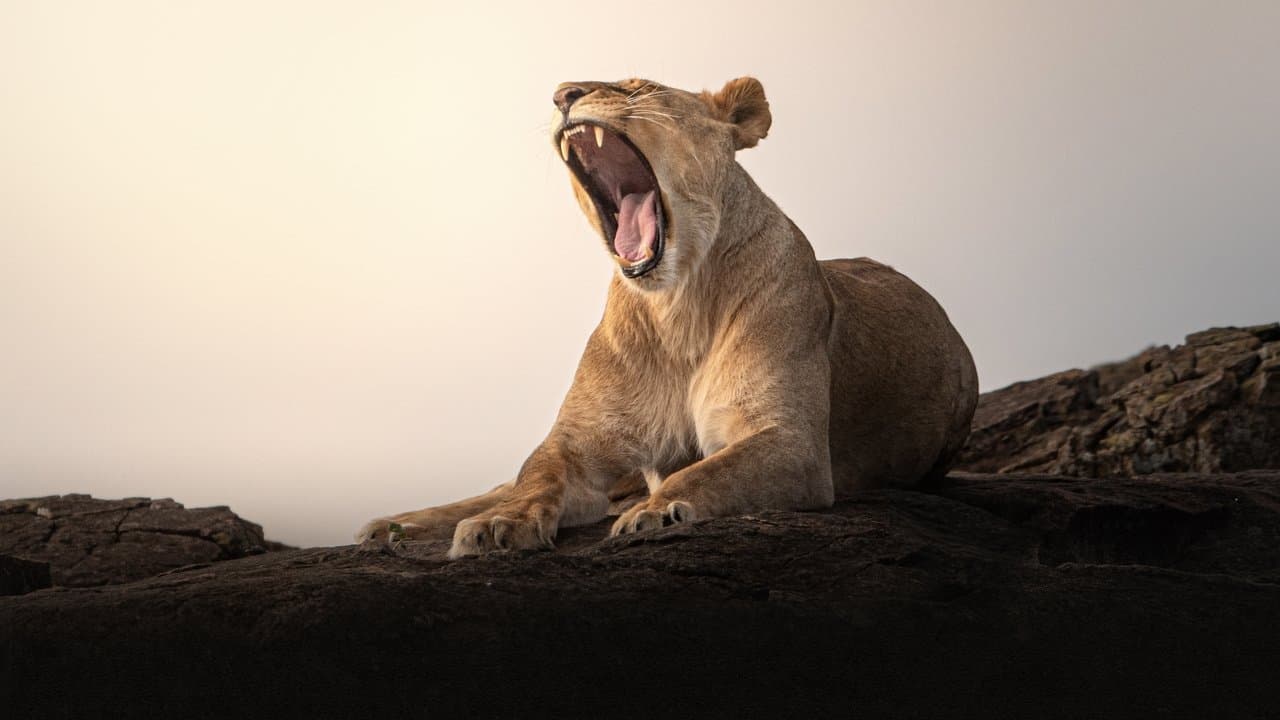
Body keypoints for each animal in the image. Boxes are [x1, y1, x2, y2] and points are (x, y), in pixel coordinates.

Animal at [356, 77, 978, 559]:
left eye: (637, 87)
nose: (562, 94)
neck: (675, 306)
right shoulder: (578, 443)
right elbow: (534, 477)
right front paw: (497, 526)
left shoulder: (792, 441)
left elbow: (700, 470)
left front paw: (655, 512)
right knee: (500, 483)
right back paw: (391, 526)